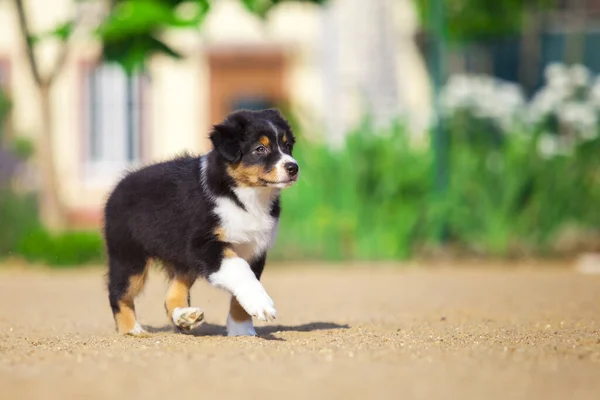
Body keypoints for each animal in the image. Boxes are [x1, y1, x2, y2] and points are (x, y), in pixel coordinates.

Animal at [105, 108, 300, 336]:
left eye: (287, 146)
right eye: (260, 149)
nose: (293, 167)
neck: (244, 196)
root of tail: (119, 185)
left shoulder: (254, 247)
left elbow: (241, 290)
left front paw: (241, 329)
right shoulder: (205, 244)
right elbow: (240, 270)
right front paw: (262, 305)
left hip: (182, 259)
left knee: (172, 294)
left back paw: (184, 317)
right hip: (129, 256)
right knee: (119, 292)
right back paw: (132, 330)